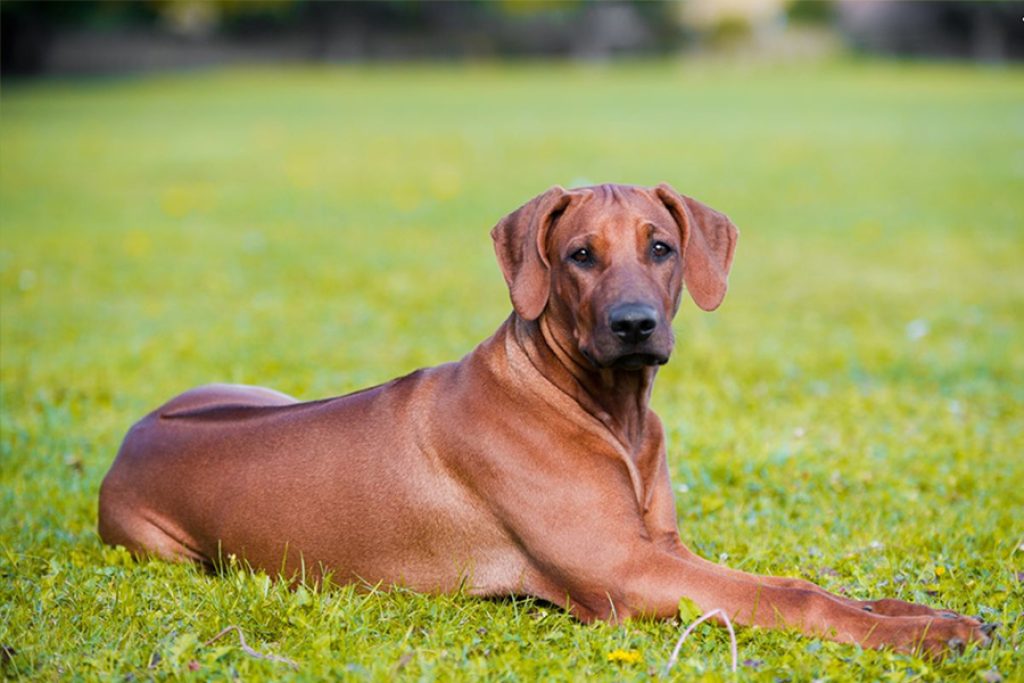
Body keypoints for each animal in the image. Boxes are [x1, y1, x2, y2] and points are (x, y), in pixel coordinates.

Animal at [99, 183, 987, 655]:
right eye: (580, 255)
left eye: (661, 247)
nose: (634, 323)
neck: (608, 410)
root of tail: (130, 437)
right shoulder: (631, 571)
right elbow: (798, 593)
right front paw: (920, 635)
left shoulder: (665, 547)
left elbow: (818, 584)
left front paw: (927, 616)